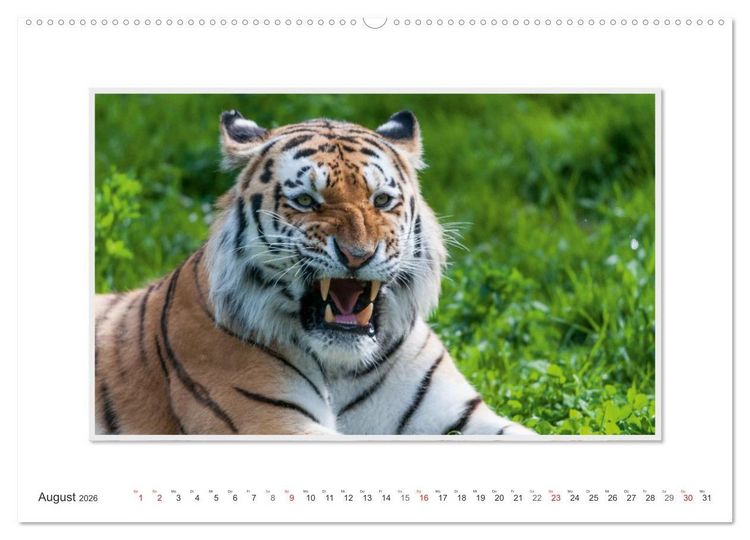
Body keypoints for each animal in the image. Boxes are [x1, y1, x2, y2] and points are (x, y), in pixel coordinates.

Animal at [94, 109, 536, 436]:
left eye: (381, 200)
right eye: (307, 201)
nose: (358, 255)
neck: (343, 368)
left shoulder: (459, 417)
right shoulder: (269, 420)